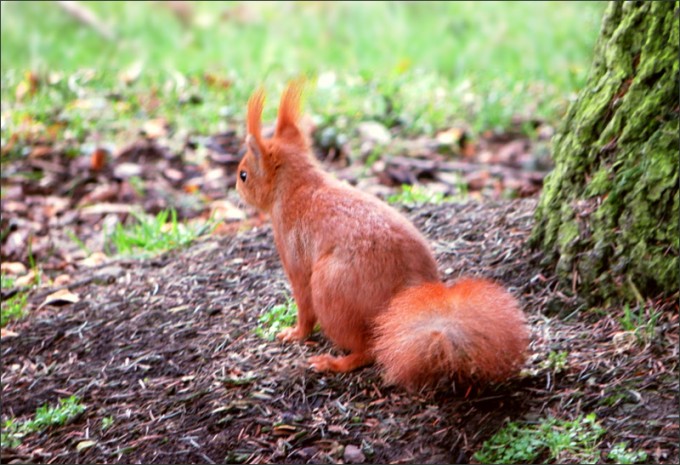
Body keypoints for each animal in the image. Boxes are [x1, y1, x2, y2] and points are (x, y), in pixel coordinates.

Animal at [236, 81, 529, 391]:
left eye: (243, 174)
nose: (235, 187)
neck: (297, 186)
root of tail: (407, 291)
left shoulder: (294, 258)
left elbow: (303, 306)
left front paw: (294, 333)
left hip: (331, 290)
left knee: (367, 351)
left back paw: (334, 363)